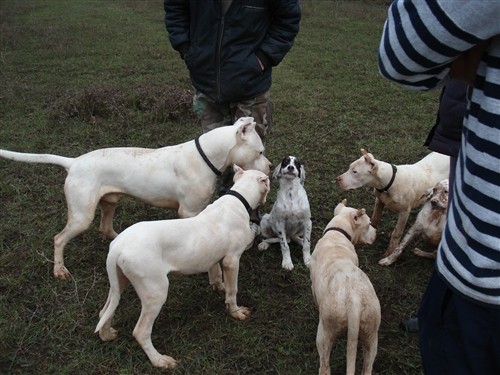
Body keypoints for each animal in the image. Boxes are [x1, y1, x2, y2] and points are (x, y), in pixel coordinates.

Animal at [0, 117, 270, 280]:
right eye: (260, 151)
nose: (269, 167)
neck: (206, 157)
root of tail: (74, 162)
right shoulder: (189, 212)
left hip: (109, 202)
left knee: (105, 228)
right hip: (81, 215)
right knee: (59, 238)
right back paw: (59, 269)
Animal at [96, 168, 272, 374]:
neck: (237, 198)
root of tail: (118, 246)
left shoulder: (213, 255)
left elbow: (215, 272)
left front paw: (217, 285)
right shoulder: (232, 260)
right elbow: (232, 291)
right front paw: (235, 312)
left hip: (119, 280)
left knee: (105, 310)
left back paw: (106, 334)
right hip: (155, 291)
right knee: (140, 331)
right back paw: (160, 360)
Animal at [310, 198, 380, 374]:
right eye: (369, 224)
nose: (377, 232)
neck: (337, 234)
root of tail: (353, 301)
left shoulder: (313, 286)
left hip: (325, 333)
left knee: (324, 364)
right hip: (371, 332)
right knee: (368, 366)